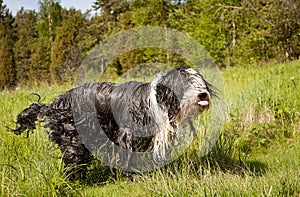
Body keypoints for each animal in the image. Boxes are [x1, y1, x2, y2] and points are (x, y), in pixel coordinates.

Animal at [11, 67, 213, 180]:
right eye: (185, 84)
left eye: (200, 83)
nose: (203, 94)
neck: (158, 101)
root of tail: (54, 104)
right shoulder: (127, 136)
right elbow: (128, 157)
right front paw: (132, 177)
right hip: (74, 139)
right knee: (72, 161)